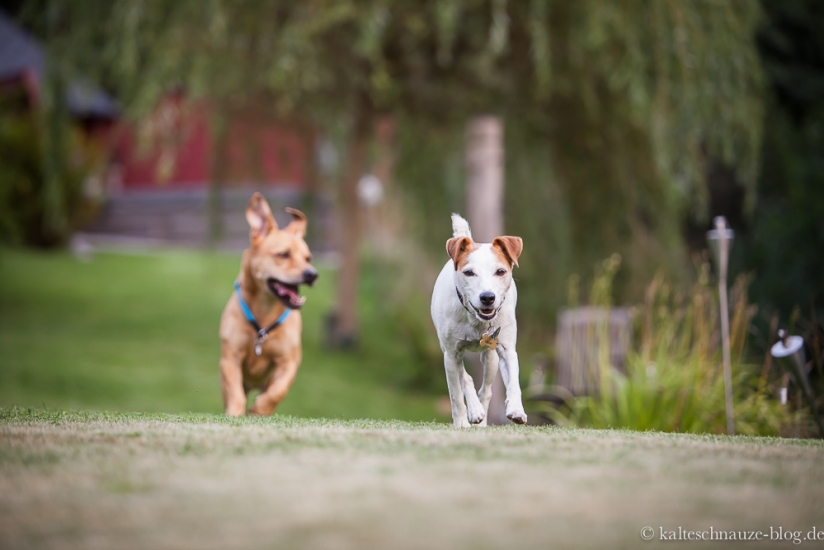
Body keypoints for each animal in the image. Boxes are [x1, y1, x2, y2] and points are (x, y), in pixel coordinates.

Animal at [217, 195, 318, 418]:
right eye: (283, 254)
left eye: (308, 258)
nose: (312, 274)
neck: (264, 313)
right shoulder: (230, 359)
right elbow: (236, 393)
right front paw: (235, 413)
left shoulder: (289, 361)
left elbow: (278, 391)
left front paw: (260, 409)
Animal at [432, 213, 528, 430]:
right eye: (469, 272)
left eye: (500, 271)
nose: (487, 297)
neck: (476, 320)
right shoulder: (451, 354)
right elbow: (456, 394)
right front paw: (461, 421)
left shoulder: (507, 349)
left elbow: (513, 382)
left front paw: (516, 410)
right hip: (451, 352)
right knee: (465, 380)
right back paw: (474, 412)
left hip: (490, 358)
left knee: (486, 390)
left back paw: (481, 420)